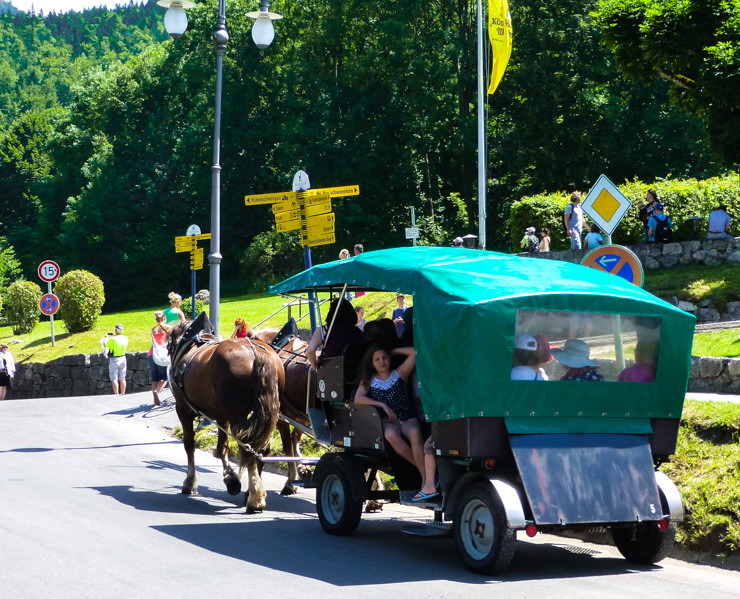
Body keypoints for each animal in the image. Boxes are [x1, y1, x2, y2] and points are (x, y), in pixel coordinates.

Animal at [169, 322, 284, 512]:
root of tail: (256, 352)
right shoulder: (222, 416)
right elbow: (222, 446)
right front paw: (231, 478)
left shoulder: (183, 409)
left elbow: (189, 444)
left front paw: (190, 481)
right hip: (271, 414)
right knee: (261, 448)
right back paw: (254, 491)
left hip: (238, 413)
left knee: (248, 447)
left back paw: (255, 498)